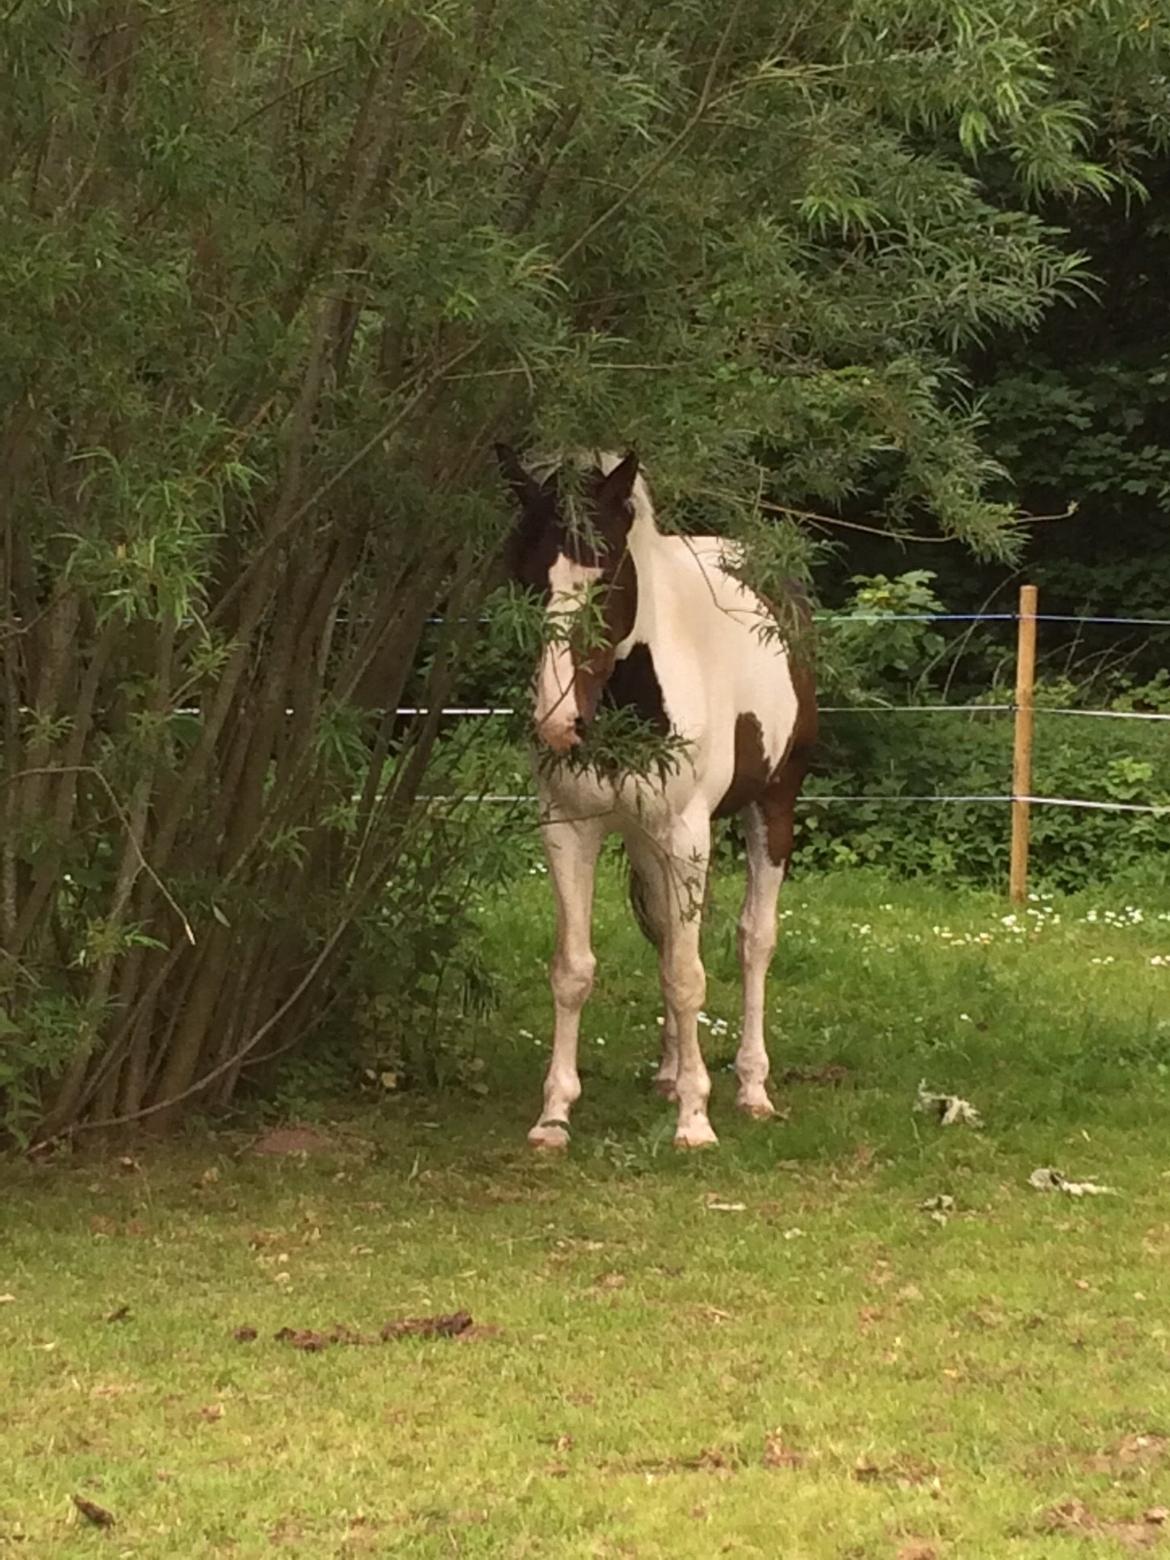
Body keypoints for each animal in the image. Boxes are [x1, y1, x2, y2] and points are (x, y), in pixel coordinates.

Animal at [499, 446, 817, 1154]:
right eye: (527, 577)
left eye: (604, 579)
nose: (557, 724)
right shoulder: (569, 828)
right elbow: (576, 969)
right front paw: (554, 1116)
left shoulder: (687, 836)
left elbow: (688, 975)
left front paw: (696, 1122)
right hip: (648, 841)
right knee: (669, 935)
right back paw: (671, 1074)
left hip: (773, 804)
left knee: (754, 940)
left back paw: (751, 1088)